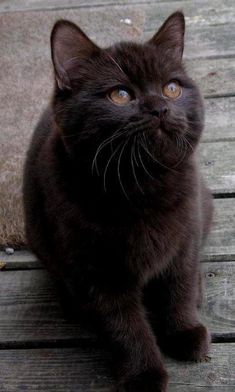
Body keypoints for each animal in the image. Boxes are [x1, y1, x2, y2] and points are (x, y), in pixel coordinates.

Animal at [23, 12, 213, 392]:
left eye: (172, 88)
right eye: (120, 95)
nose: (160, 108)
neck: (141, 186)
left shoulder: (186, 233)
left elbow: (179, 286)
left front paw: (184, 332)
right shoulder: (95, 271)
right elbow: (122, 325)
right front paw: (143, 375)